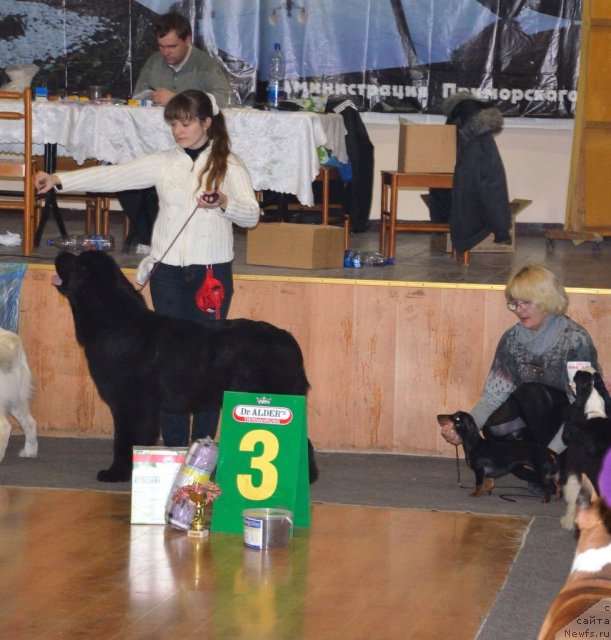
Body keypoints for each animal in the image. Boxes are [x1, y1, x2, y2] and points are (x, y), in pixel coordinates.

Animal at [53, 252, 320, 482]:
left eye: (77, 261)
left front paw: (116, 473)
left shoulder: (130, 404)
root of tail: (287, 338)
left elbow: (124, 440)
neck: (114, 322)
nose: (61, 252)